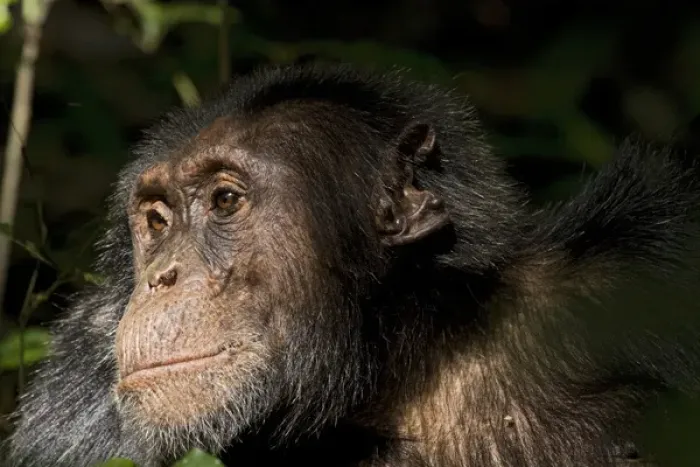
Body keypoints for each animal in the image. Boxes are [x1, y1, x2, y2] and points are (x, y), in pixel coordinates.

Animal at [4, 62, 700, 467]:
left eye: (225, 200)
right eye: (157, 221)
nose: (160, 277)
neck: (400, 367)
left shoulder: (650, 263)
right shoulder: (77, 412)